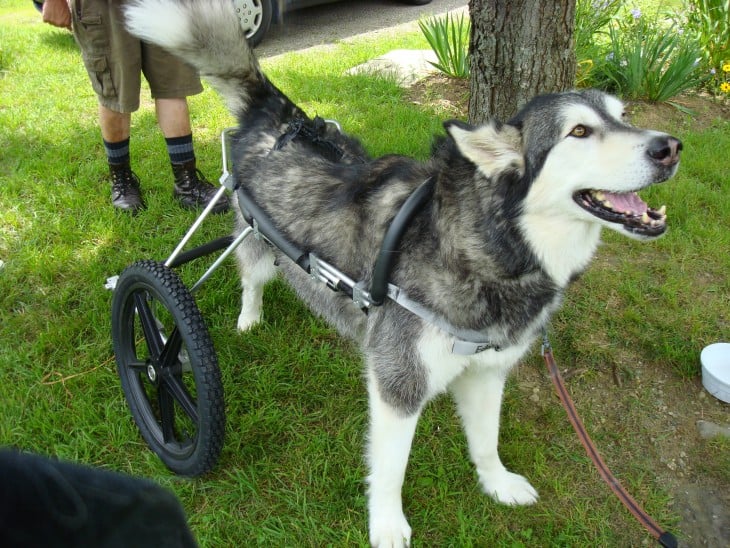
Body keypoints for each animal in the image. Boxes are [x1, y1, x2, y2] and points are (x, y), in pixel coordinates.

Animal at [122, 2, 680, 544]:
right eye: (579, 131)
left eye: (624, 117)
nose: (670, 147)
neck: (480, 248)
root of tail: (283, 121)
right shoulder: (399, 384)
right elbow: (391, 469)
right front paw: (387, 525)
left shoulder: (487, 372)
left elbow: (487, 440)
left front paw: (496, 483)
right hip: (253, 240)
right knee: (241, 279)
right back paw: (237, 321)